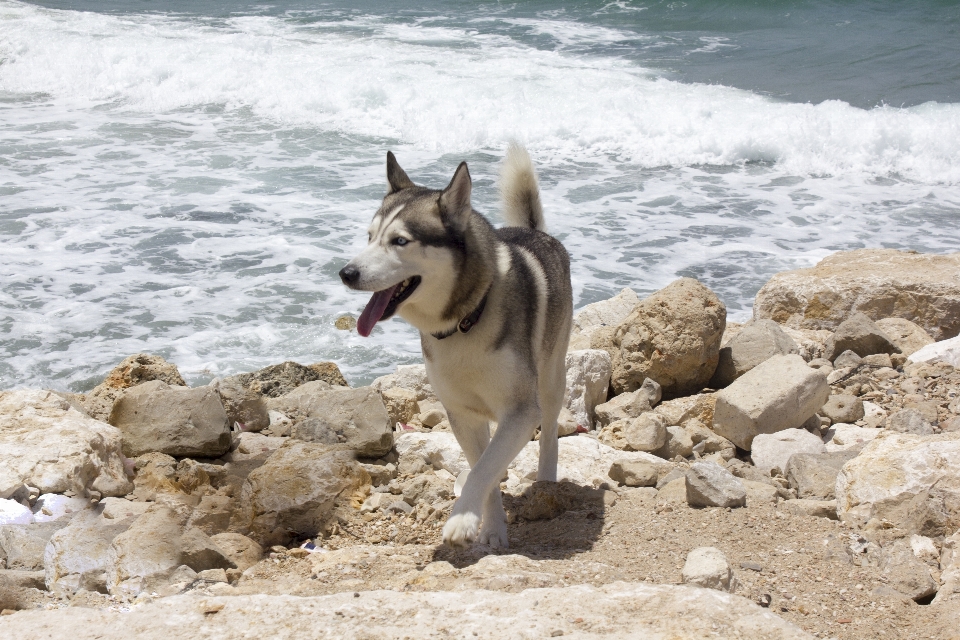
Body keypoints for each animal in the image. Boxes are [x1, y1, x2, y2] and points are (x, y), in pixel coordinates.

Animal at [342, 146, 572, 552]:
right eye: (369, 237)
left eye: (399, 241)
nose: (346, 273)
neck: (466, 320)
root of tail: (535, 231)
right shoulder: (462, 413)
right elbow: (486, 469)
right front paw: (491, 528)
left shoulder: (520, 412)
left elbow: (484, 468)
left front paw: (461, 520)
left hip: (551, 378)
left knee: (549, 431)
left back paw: (546, 479)